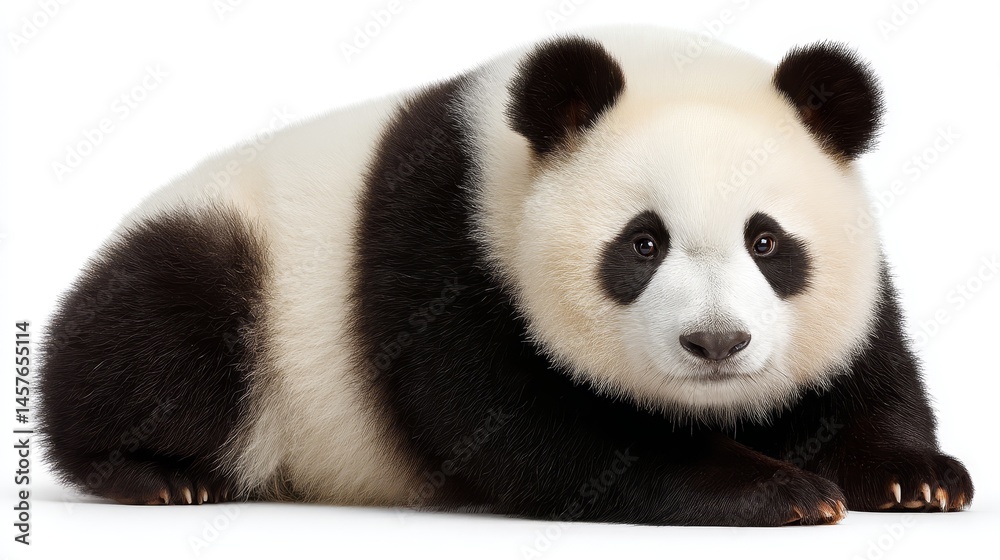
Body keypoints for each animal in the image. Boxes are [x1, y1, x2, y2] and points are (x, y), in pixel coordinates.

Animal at [37, 26, 974, 526]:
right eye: (642, 244)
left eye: (768, 242)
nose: (715, 343)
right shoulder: (450, 255)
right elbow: (530, 429)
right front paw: (778, 488)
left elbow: (866, 372)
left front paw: (914, 476)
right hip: (234, 269)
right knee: (163, 334)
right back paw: (161, 476)